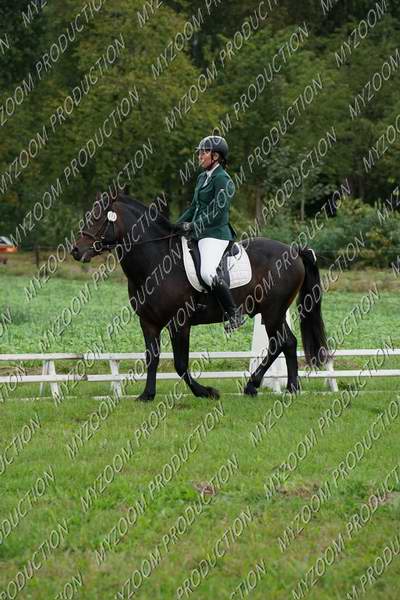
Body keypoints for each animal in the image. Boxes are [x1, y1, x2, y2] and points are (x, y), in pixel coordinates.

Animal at [71, 192, 328, 401]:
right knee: (287, 342)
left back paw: (266, 386)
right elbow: (152, 358)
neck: (156, 262)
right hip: (272, 312)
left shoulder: (179, 322)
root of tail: (294, 250)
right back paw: (282, 388)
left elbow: (180, 364)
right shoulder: (148, 322)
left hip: (273, 311)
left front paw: (205, 392)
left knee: (281, 343)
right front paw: (147, 395)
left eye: (98, 219)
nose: (75, 251)